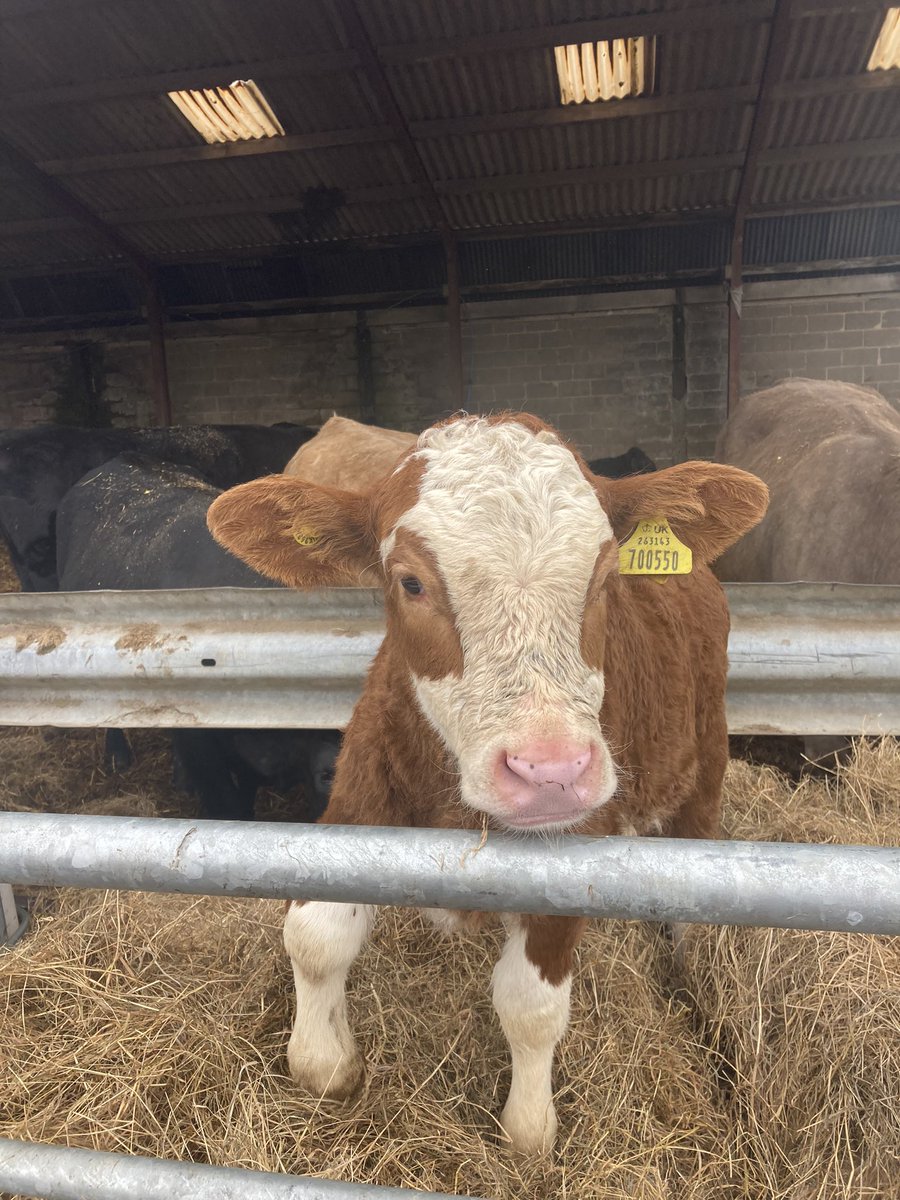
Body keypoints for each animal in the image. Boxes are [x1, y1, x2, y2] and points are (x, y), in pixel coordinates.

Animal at [207, 412, 767, 1155]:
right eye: (410, 582)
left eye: (604, 577)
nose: (550, 772)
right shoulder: (359, 789)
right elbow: (315, 938)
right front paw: (330, 1061)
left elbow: (531, 1006)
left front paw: (528, 1130)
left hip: (704, 757)